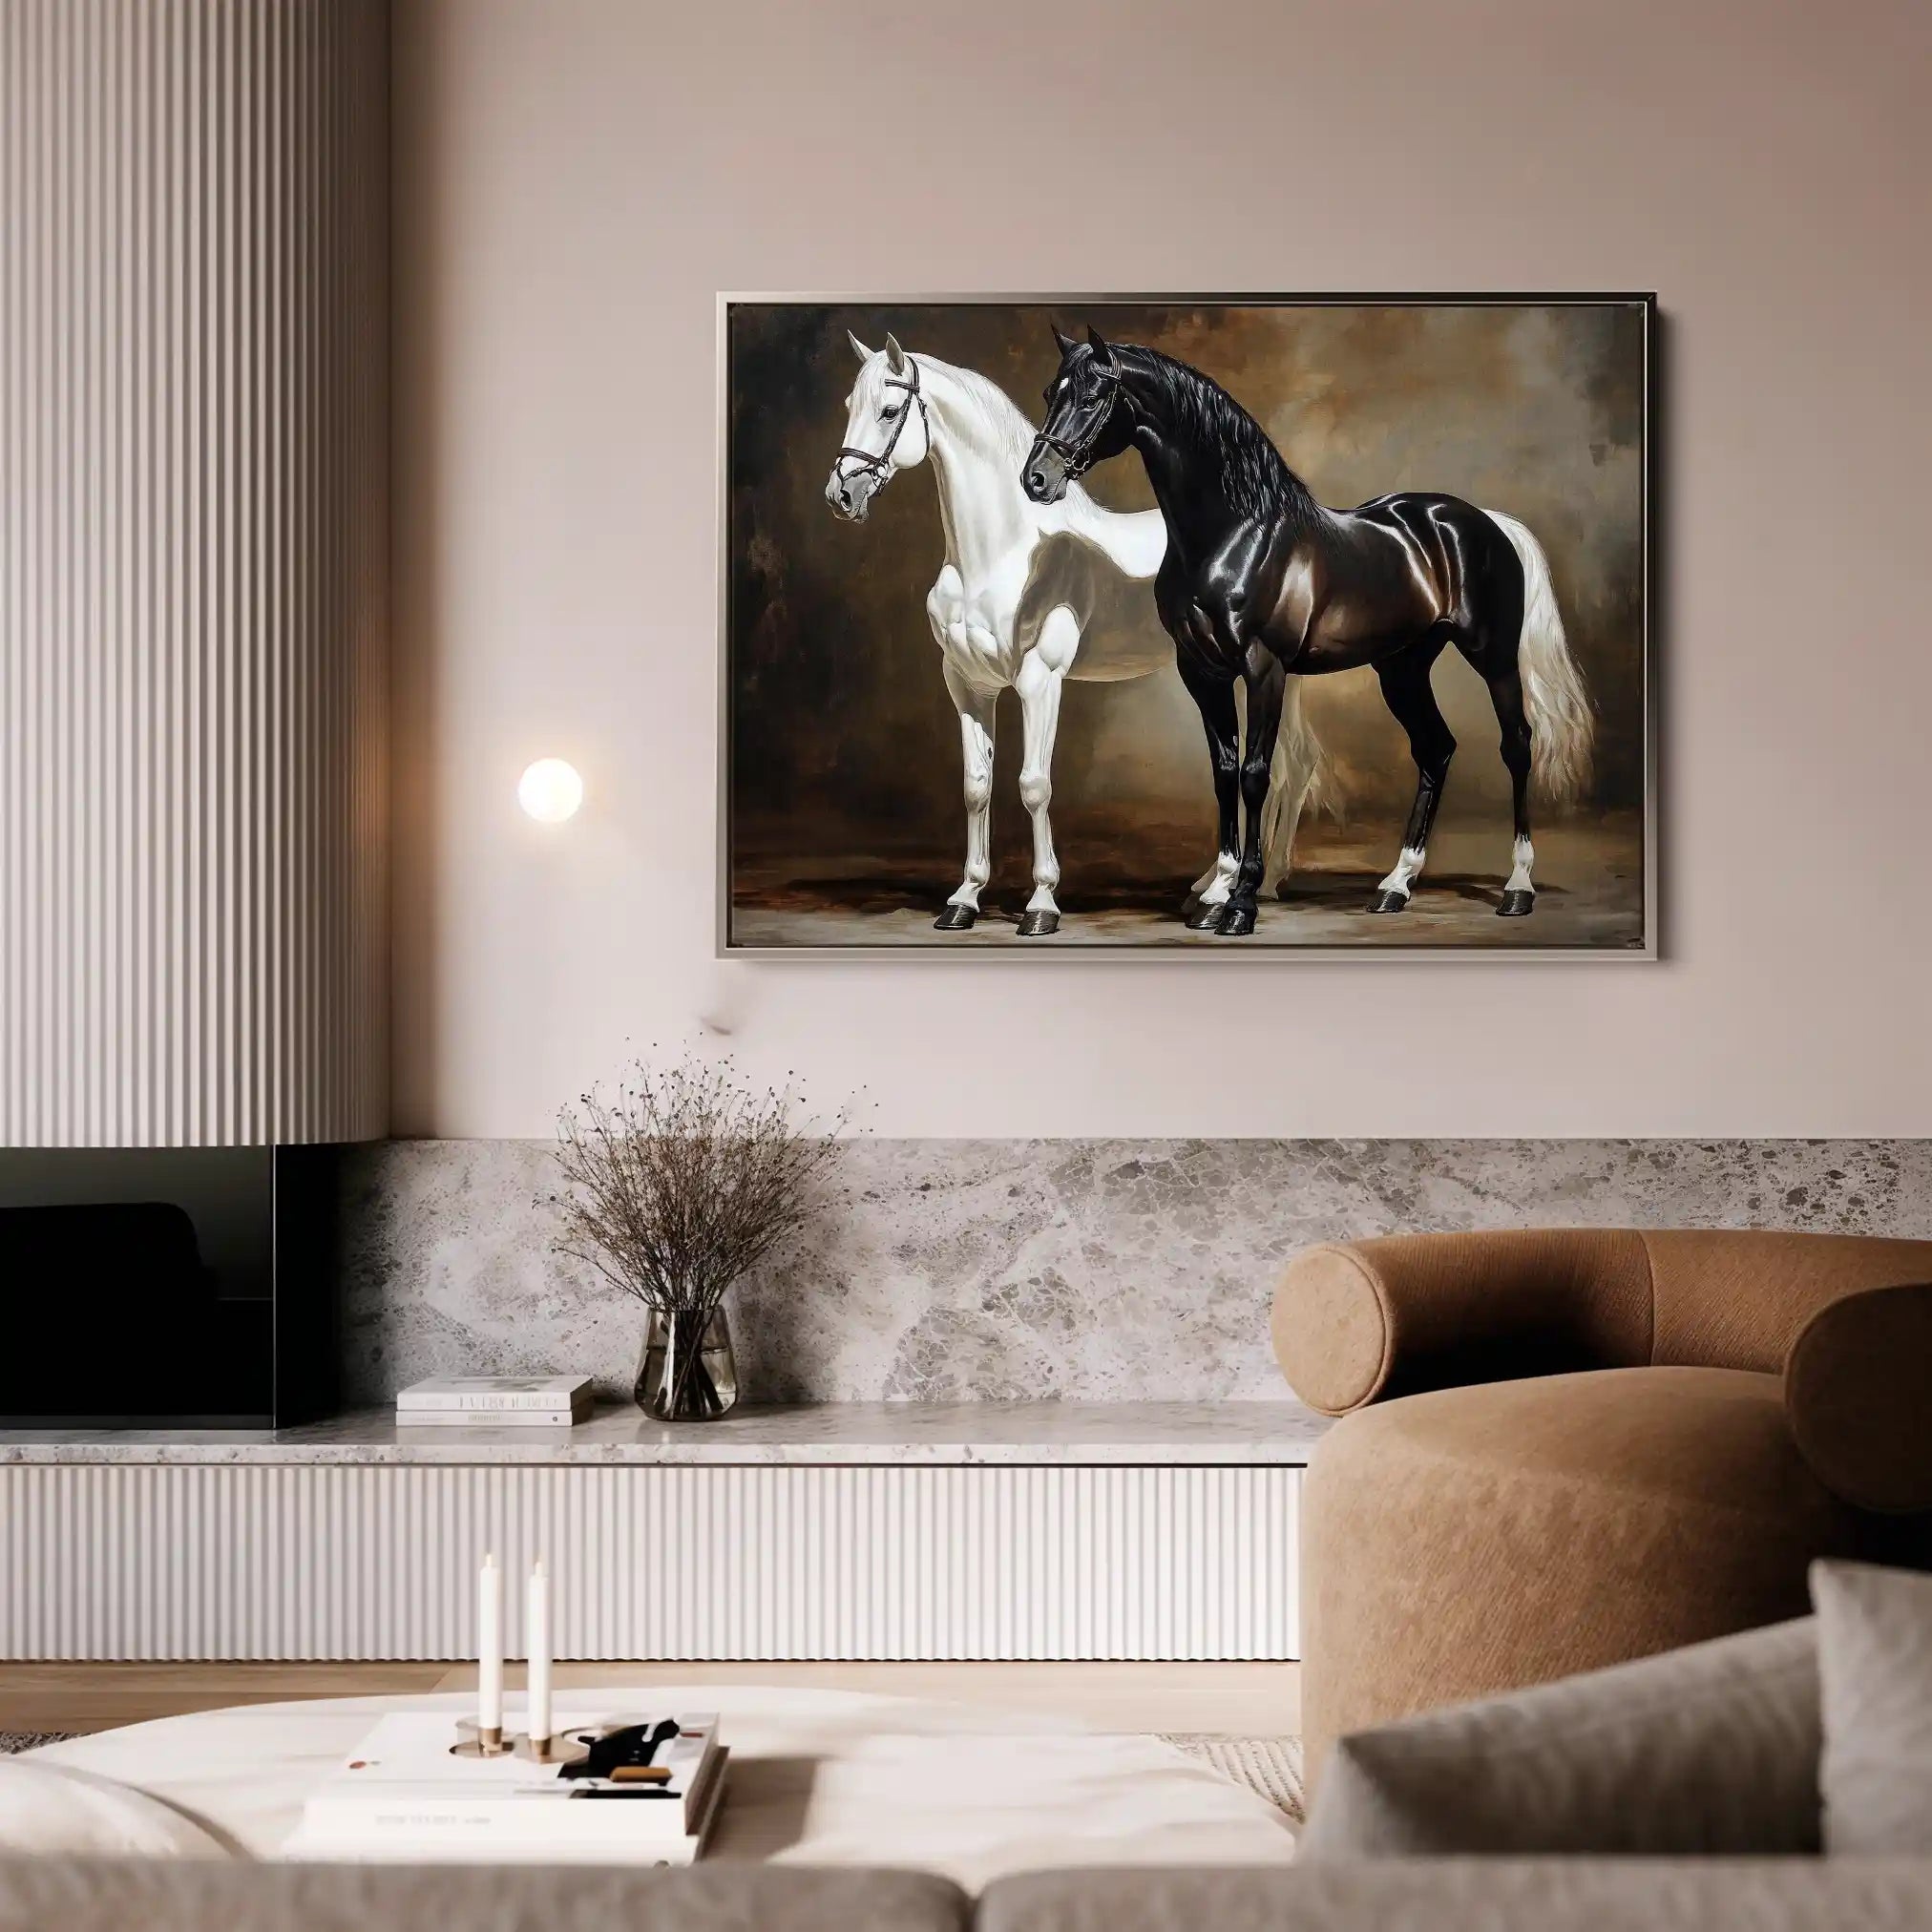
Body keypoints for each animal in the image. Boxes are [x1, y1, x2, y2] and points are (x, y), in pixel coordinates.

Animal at [824, 332, 1327, 936]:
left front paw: (1041, 905)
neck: (1004, 555)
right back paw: (1222, 885)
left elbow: (1034, 785)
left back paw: (1252, 887)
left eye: (889, 410)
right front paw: (964, 898)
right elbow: (976, 786)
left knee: (1286, 767)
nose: (841, 495)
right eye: (850, 406)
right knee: (1281, 764)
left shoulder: (1040, 681)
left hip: (1271, 677)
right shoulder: (967, 685)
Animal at [1022, 326, 1595, 937]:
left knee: (1516, 745)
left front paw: (1242, 902)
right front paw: (1215, 894)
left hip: (1493, 656)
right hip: (1403, 667)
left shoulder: (1264, 667)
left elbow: (1255, 774)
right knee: (1436, 748)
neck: (1236, 533)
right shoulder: (1200, 671)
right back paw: (1395, 885)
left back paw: (1518, 886)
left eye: (1091, 397)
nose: (1036, 478)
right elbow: (1223, 772)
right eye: (1050, 392)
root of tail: (1483, 521)